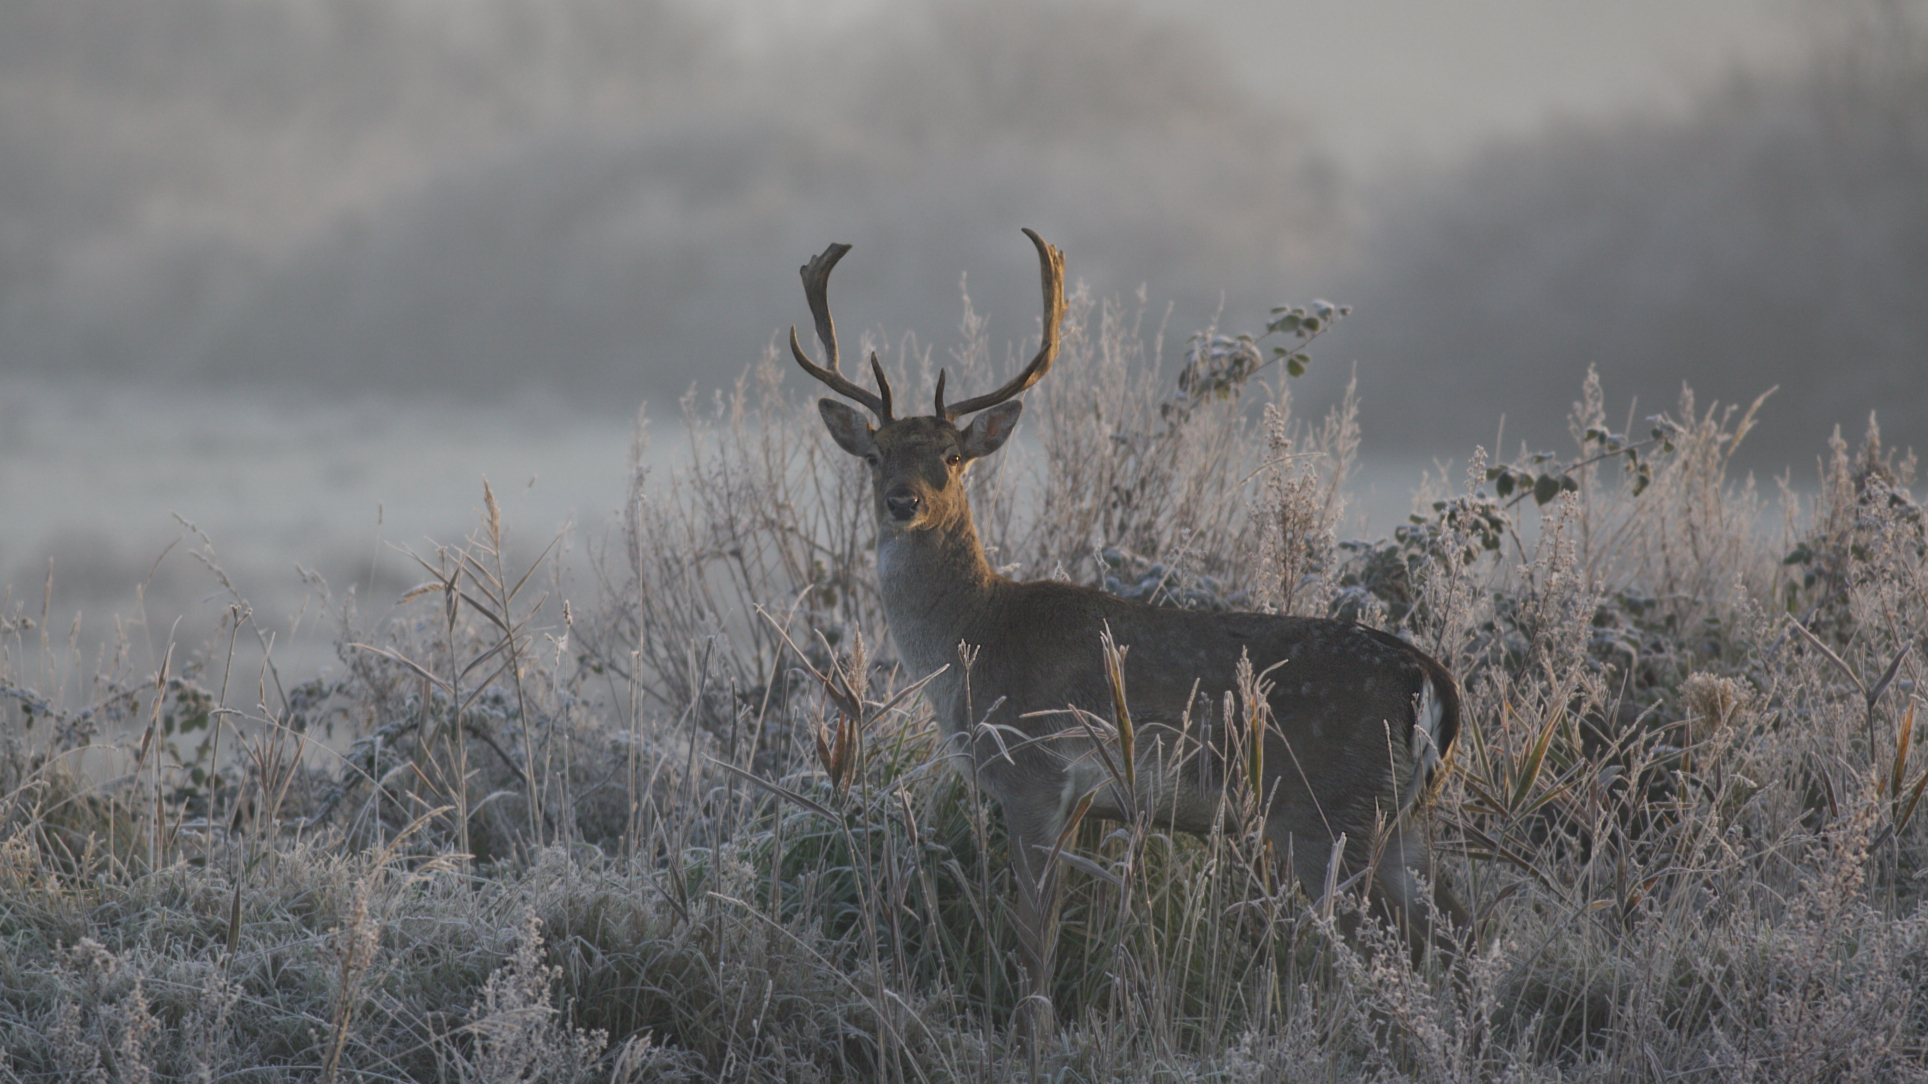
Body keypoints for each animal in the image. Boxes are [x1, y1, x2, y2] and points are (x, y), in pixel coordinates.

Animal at [790, 229, 1469, 1033]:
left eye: (951, 458)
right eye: (875, 456)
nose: (902, 501)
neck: (974, 641)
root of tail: (1432, 680)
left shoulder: (1032, 775)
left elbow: (1035, 936)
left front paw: (1037, 1032)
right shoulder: (1078, 801)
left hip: (1330, 812)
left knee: (1385, 945)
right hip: (1404, 818)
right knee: (1452, 931)